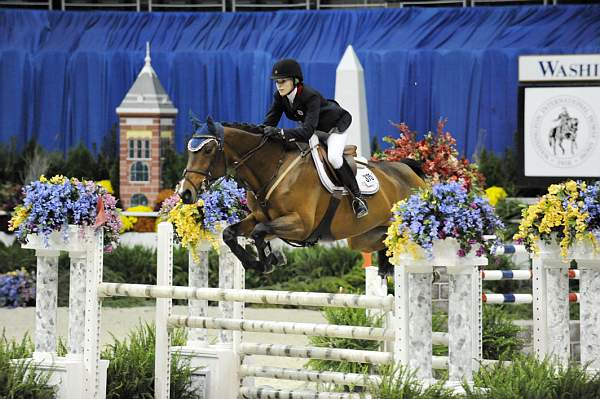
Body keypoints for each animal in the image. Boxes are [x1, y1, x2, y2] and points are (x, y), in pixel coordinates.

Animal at [178, 117, 426, 276]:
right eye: (189, 151)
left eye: (208, 150)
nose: (185, 193)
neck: (273, 169)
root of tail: (409, 171)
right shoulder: (260, 217)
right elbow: (230, 233)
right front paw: (260, 262)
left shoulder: (300, 225)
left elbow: (259, 232)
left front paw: (268, 261)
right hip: (363, 237)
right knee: (383, 241)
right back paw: (386, 267)